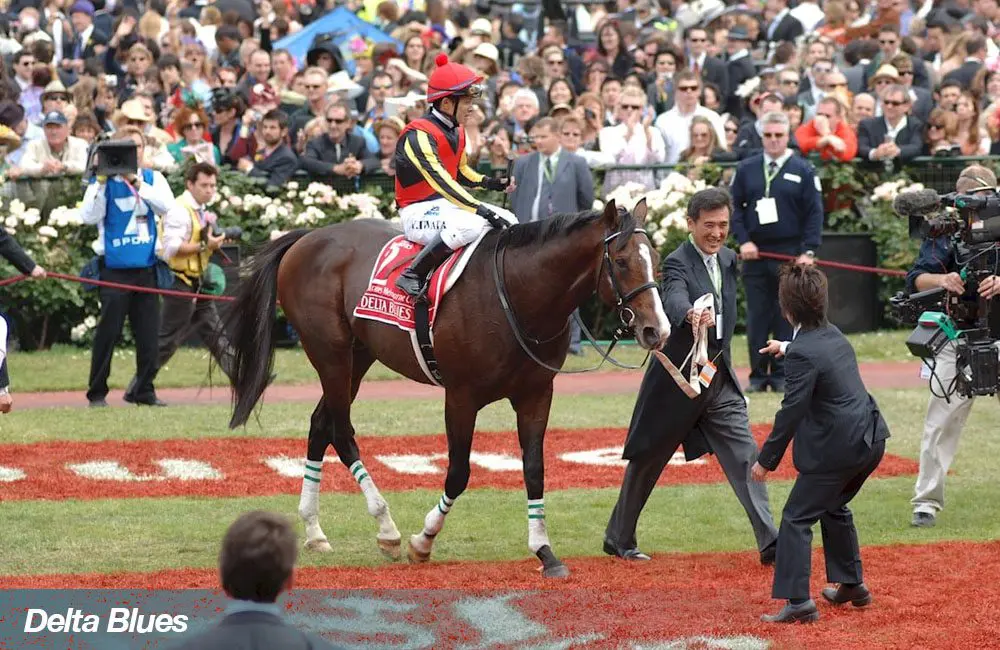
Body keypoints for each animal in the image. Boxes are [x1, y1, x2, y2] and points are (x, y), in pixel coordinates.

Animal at [227, 196, 672, 572]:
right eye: (621, 260)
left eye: (656, 260)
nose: (658, 330)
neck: (517, 294)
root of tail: (308, 238)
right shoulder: (461, 397)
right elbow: (458, 472)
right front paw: (422, 541)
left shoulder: (536, 394)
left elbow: (534, 469)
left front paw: (545, 551)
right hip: (330, 353)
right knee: (341, 430)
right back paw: (386, 528)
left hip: (358, 355)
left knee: (321, 424)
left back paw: (315, 531)